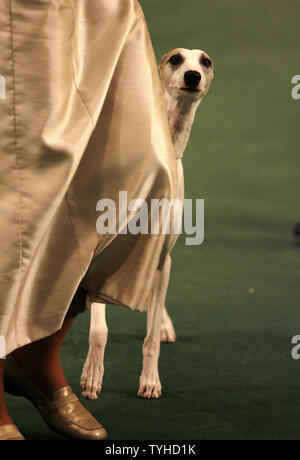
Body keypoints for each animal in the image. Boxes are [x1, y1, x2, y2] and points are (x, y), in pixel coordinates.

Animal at [81, 47, 214, 398]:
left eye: (205, 61)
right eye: (175, 59)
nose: (192, 76)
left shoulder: (160, 257)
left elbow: (150, 336)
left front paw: (150, 381)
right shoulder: (97, 251)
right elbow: (99, 331)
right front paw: (92, 376)